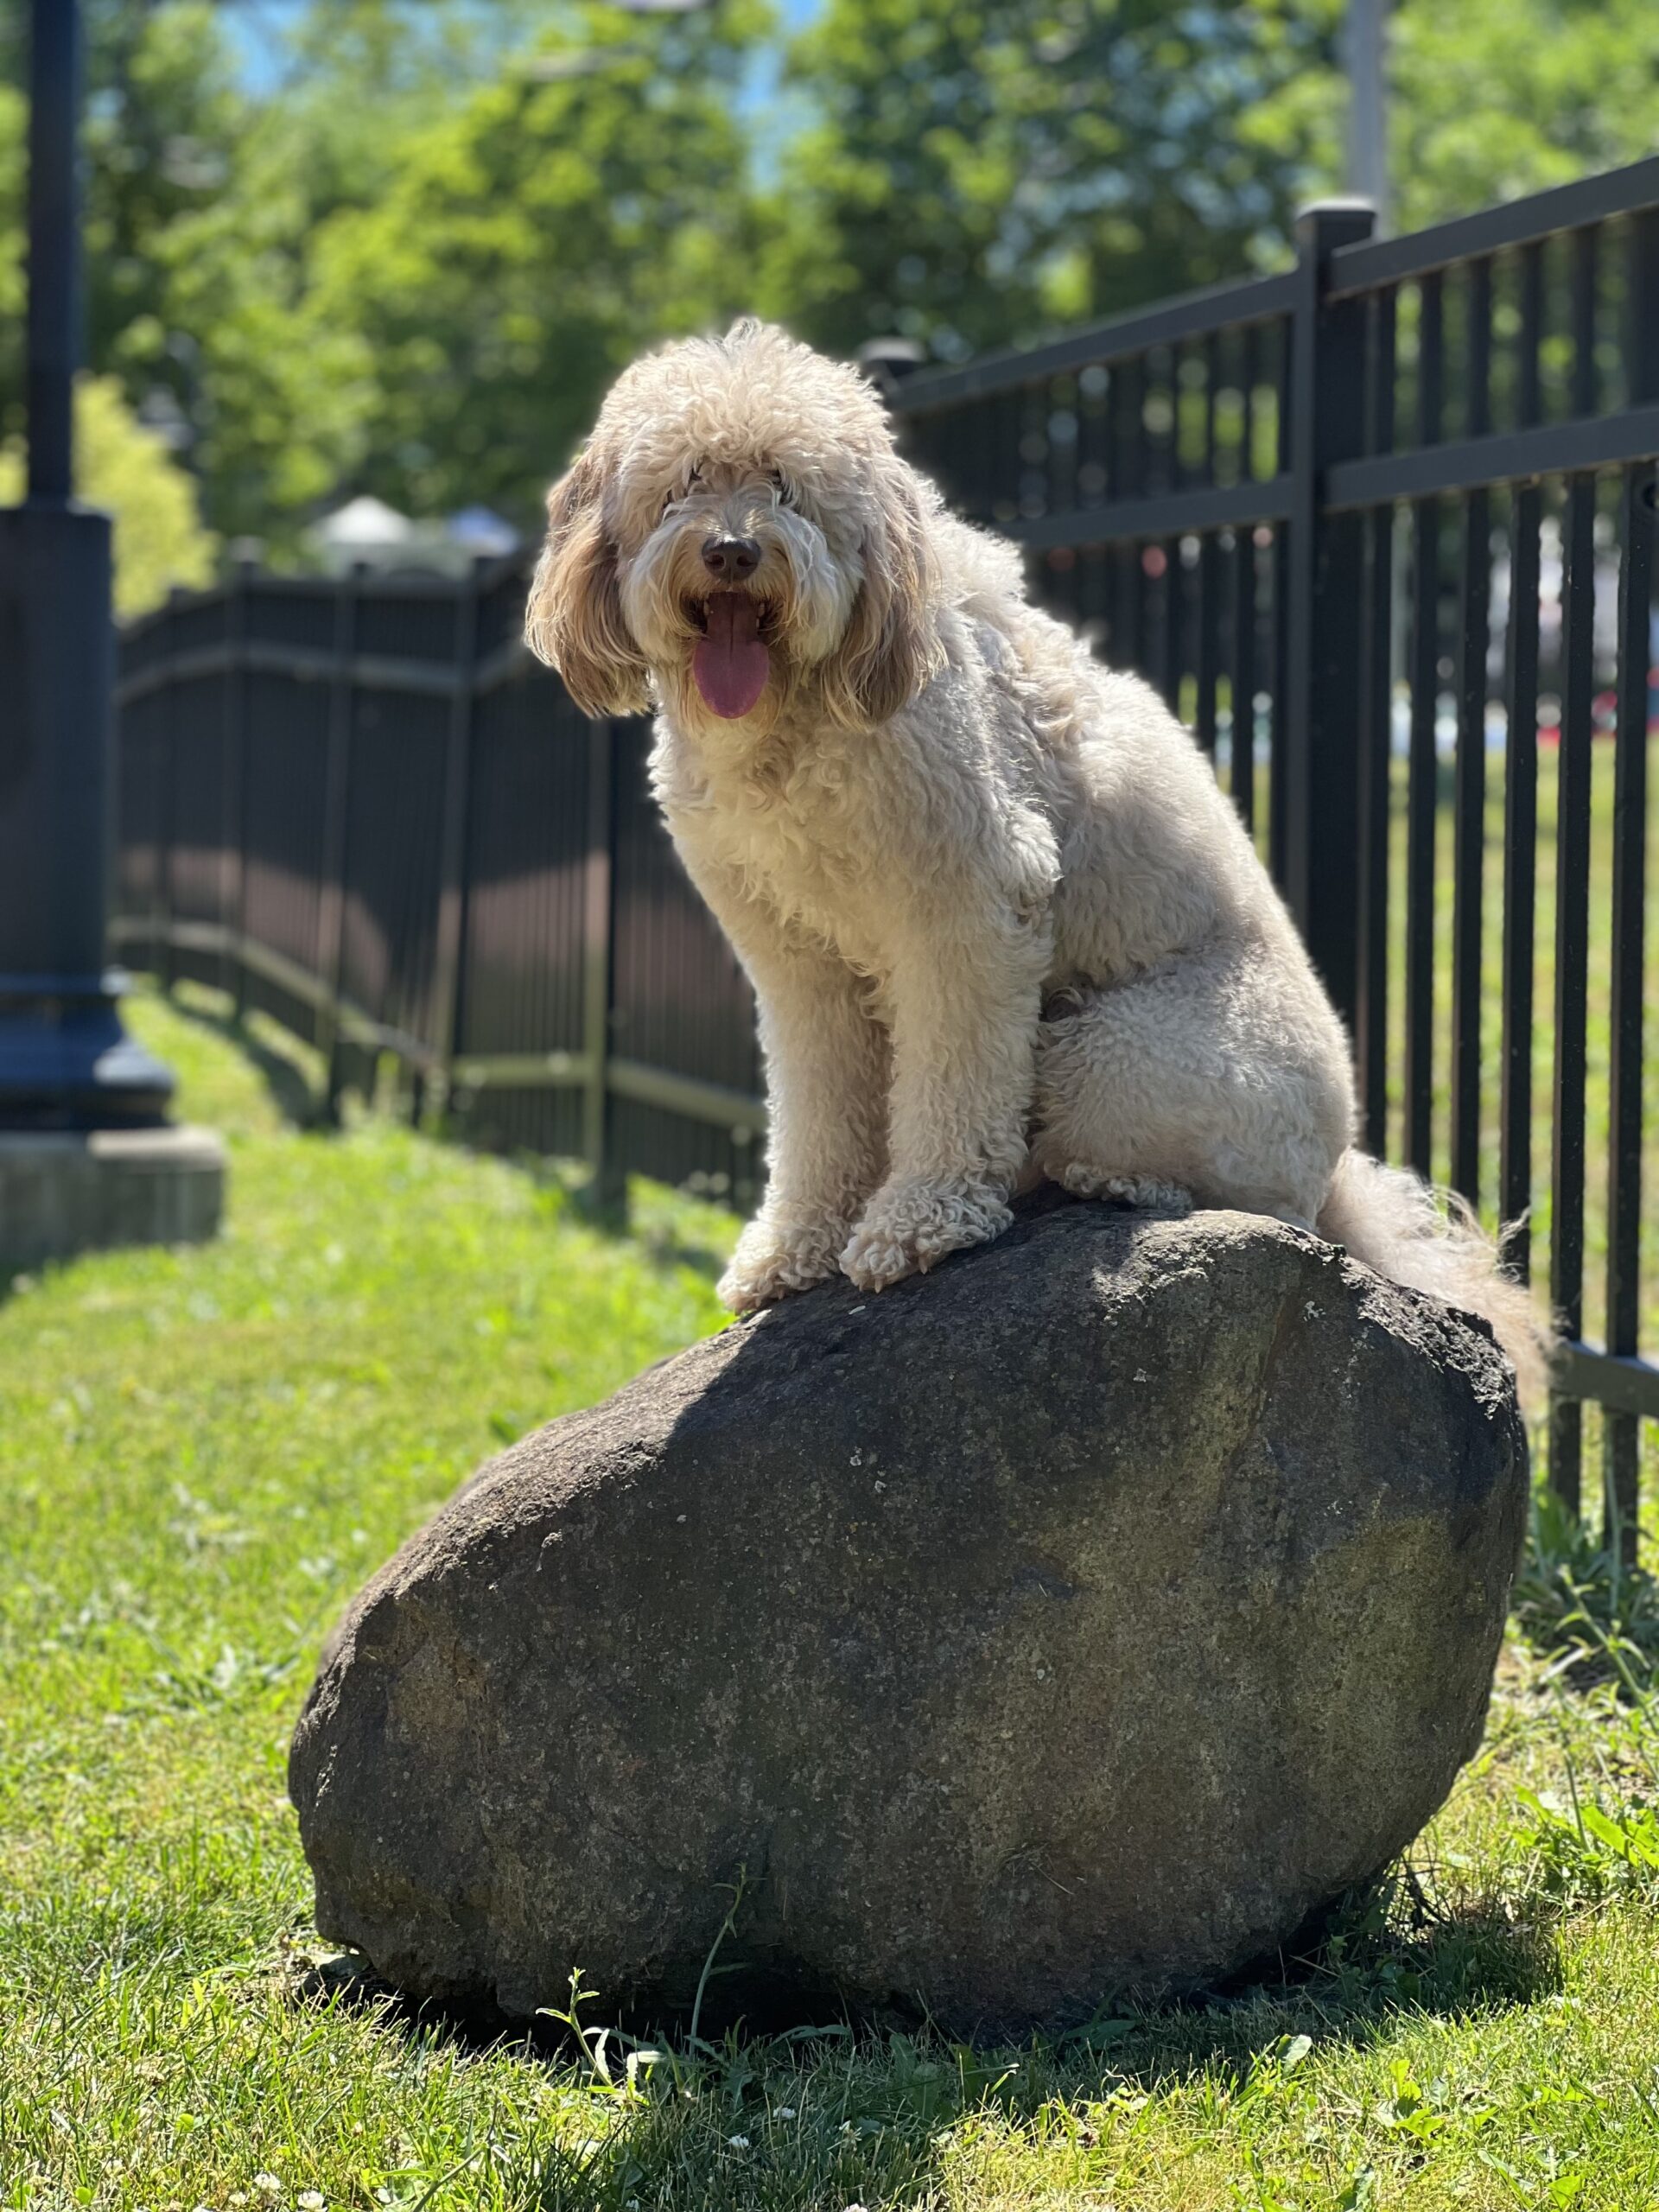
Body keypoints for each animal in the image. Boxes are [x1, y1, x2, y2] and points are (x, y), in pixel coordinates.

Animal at [522, 321, 1548, 1389]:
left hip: (1106, 1055)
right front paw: (794, 1248)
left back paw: (1103, 1177)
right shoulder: (796, 963)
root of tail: (1345, 1166)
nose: (732, 551)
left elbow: (953, 1076)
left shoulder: (967, 910)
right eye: (682, 485)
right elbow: (817, 1107)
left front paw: (920, 1223)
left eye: (785, 485)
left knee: (1250, 1200)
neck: (795, 721)